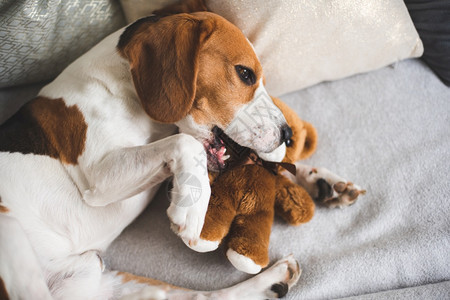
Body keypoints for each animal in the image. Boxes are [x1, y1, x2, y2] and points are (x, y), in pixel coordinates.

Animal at [0, 9, 362, 300]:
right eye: (245, 74)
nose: (288, 133)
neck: (121, 88)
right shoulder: (97, 178)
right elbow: (187, 144)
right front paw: (192, 211)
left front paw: (323, 181)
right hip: (11, 231)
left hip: (93, 278)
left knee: (204, 296)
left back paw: (272, 280)